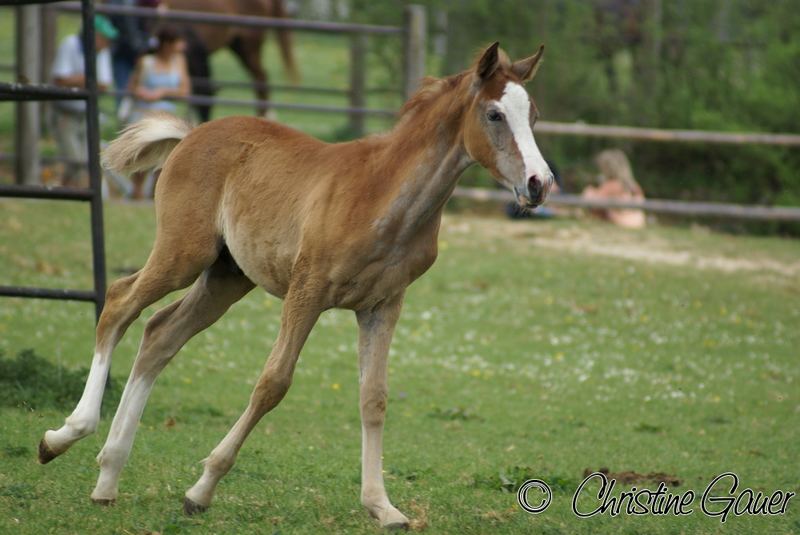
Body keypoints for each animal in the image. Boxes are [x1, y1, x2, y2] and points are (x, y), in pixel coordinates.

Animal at [37, 44, 552, 528]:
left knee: (160, 334)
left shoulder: (383, 304)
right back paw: (63, 437)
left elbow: (374, 397)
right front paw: (201, 489)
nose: (539, 183)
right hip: (183, 254)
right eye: (494, 114)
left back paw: (107, 478)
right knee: (120, 304)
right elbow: (273, 383)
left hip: (226, 276)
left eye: (533, 114)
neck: (383, 195)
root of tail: (192, 134)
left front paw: (382, 506)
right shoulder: (308, 289)